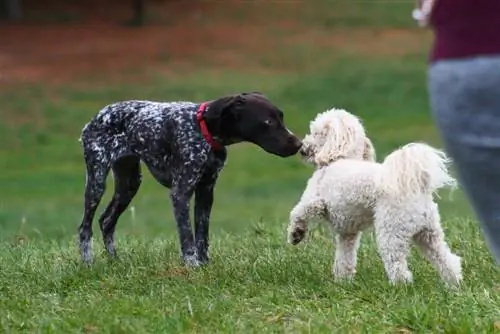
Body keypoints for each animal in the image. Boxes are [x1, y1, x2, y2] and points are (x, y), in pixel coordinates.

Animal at [80, 92, 302, 266]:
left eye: (281, 117)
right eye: (268, 122)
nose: (299, 144)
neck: (203, 129)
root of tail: (96, 118)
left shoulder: (206, 192)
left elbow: (202, 235)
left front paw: (204, 265)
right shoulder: (181, 193)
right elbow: (187, 237)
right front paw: (192, 266)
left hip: (129, 184)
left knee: (106, 221)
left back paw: (115, 262)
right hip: (97, 183)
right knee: (85, 228)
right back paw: (88, 263)